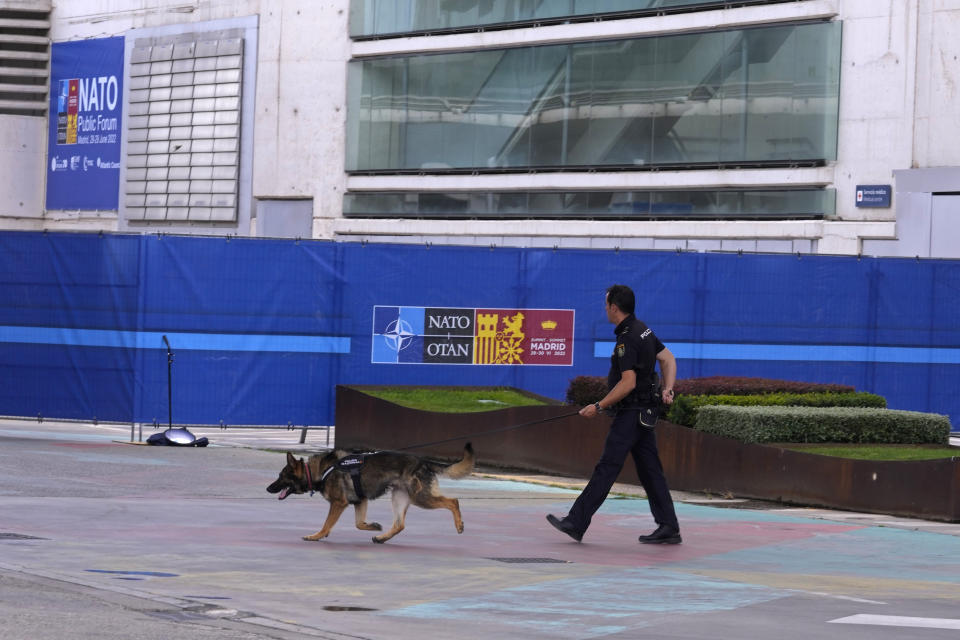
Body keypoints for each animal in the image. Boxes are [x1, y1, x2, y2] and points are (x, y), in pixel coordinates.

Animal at [266, 442, 476, 544]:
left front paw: (315, 536)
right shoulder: (360, 501)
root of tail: (423, 461)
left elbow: (327, 525)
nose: (268, 488)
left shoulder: (339, 503)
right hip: (399, 498)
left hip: (420, 498)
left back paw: (459, 525)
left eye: (281, 476)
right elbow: (359, 524)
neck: (318, 470)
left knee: (453, 501)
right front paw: (373, 526)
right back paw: (381, 538)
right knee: (399, 524)